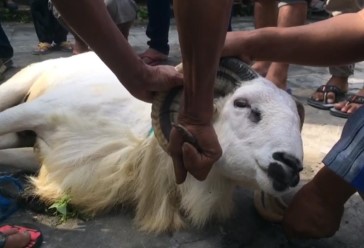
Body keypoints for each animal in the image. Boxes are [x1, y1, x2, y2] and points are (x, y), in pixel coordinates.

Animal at [0, 51, 302, 232]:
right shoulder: (38, 111)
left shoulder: (44, 154)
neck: (134, 140)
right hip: (18, 87)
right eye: (242, 104)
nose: (291, 166)